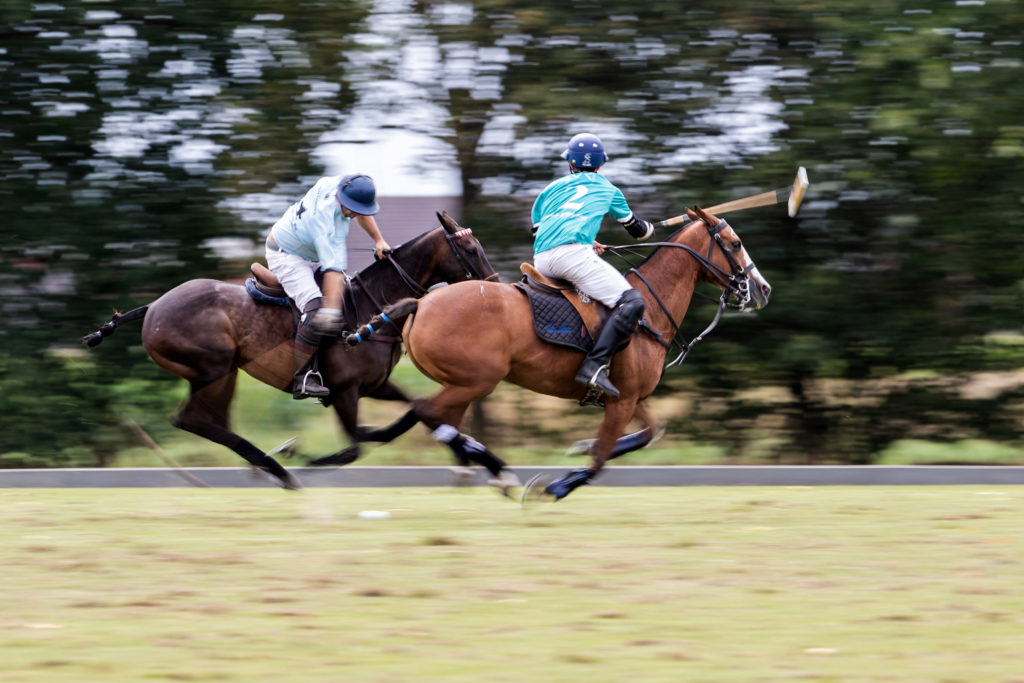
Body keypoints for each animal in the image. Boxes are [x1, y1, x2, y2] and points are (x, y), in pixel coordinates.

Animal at [82, 210, 495, 489]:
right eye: (470, 247)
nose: (494, 285)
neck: (371, 306)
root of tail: (153, 306)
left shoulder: (376, 386)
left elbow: (414, 411)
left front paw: (472, 455)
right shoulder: (344, 391)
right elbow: (359, 443)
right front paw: (304, 458)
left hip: (221, 373)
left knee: (208, 421)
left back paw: (270, 464)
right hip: (214, 368)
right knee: (194, 419)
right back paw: (279, 467)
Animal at [352, 205, 770, 499]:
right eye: (734, 244)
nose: (762, 289)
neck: (650, 307)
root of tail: (420, 304)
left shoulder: (630, 397)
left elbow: (649, 433)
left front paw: (579, 446)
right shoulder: (622, 400)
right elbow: (600, 459)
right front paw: (558, 484)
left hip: (463, 383)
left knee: (433, 417)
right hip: (477, 380)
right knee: (429, 412)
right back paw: (498, 471)